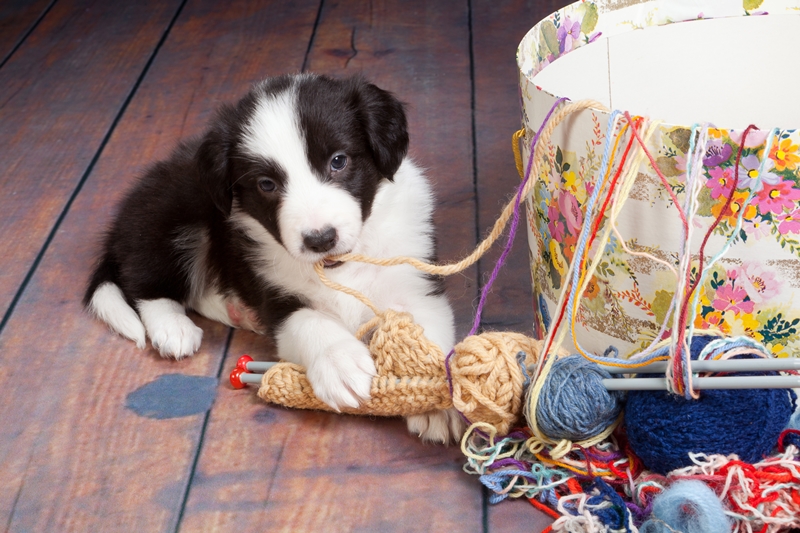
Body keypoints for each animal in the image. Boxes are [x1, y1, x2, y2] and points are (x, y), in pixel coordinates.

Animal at [84, 72, 462, 442]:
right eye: (267, 184)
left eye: (338, 161)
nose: (320, 239)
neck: (342, 270)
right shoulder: (276, 299)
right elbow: (311, 321)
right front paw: (340, 361)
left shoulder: (416, 285)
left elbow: (426, 341)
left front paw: (436, 403)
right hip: (172, 216)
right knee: (145, 283)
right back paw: (172, 327)